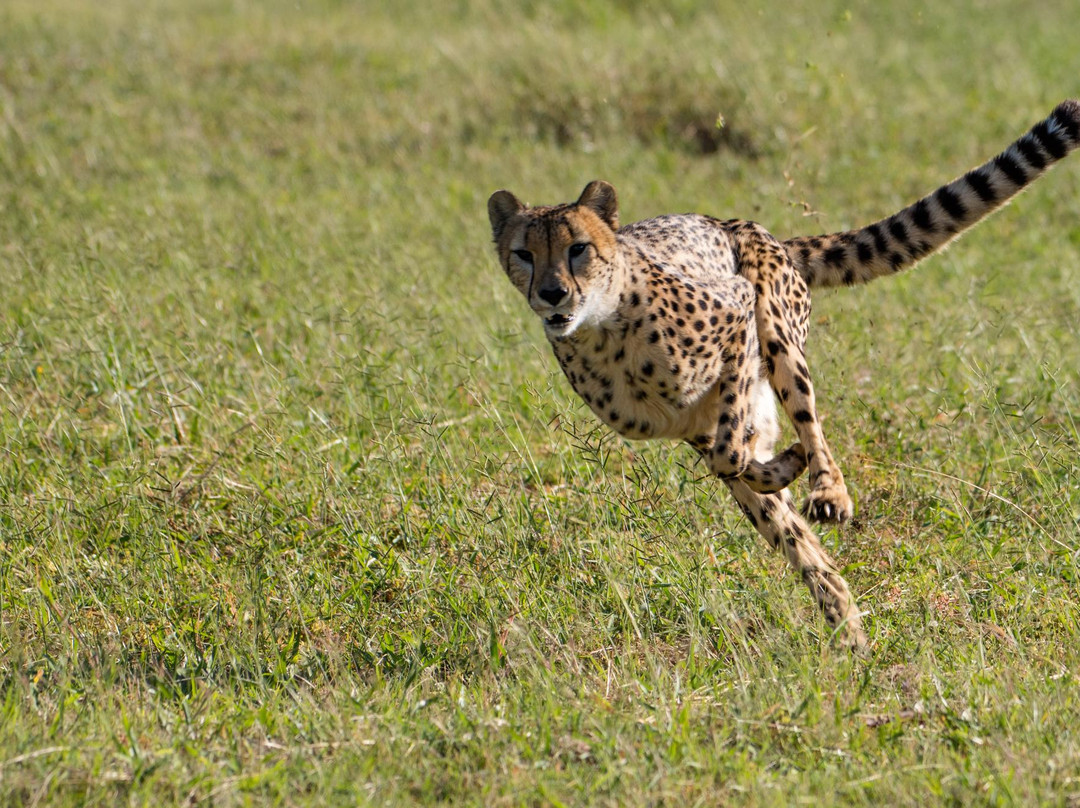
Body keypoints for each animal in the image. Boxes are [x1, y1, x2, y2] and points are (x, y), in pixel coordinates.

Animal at [488, 101, 1080, 648]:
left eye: (578, 249)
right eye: (523, 254)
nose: (552, 294)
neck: (606, 329)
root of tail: (748, 226)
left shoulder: (736, 316)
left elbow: (733, 449)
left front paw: (793, 467)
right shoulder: (687, 425)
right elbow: (736, 459)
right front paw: (779, 468)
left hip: (775, 327)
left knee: (805, 427)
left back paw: (828, 491)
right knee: (787, 526)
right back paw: (845, 624)